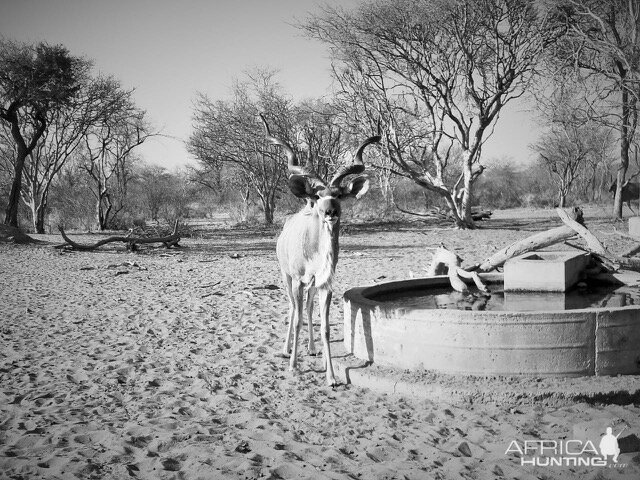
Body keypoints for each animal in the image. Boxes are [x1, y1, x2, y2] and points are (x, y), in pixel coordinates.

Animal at [260, 113, 380, 386]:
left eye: (339, 195)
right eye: (318, 196)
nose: (330, 211)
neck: (315, 254)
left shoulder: (325, 284)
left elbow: (323, 326)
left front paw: (332, 376)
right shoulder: (298, 280)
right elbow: (297, 319)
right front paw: (293, 366)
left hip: (311, 286)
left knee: (307, 307)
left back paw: (312, 348)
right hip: (286, 277)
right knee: (294, 308)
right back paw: (286, 350)